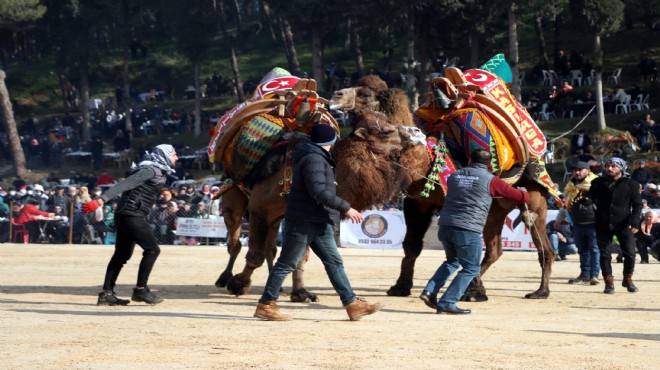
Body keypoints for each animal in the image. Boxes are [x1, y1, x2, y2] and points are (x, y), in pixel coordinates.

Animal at [330, 73, 556, 300]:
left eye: (365, 93)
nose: (336, 95)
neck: (427, 162)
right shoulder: (417, 204)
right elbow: (411, 245)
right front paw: (400, 287)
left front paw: (475, 292)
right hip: (497, 208)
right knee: (495, 250)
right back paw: (473, 287)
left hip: (535, 197)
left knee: (540, 241)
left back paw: (539, 291)